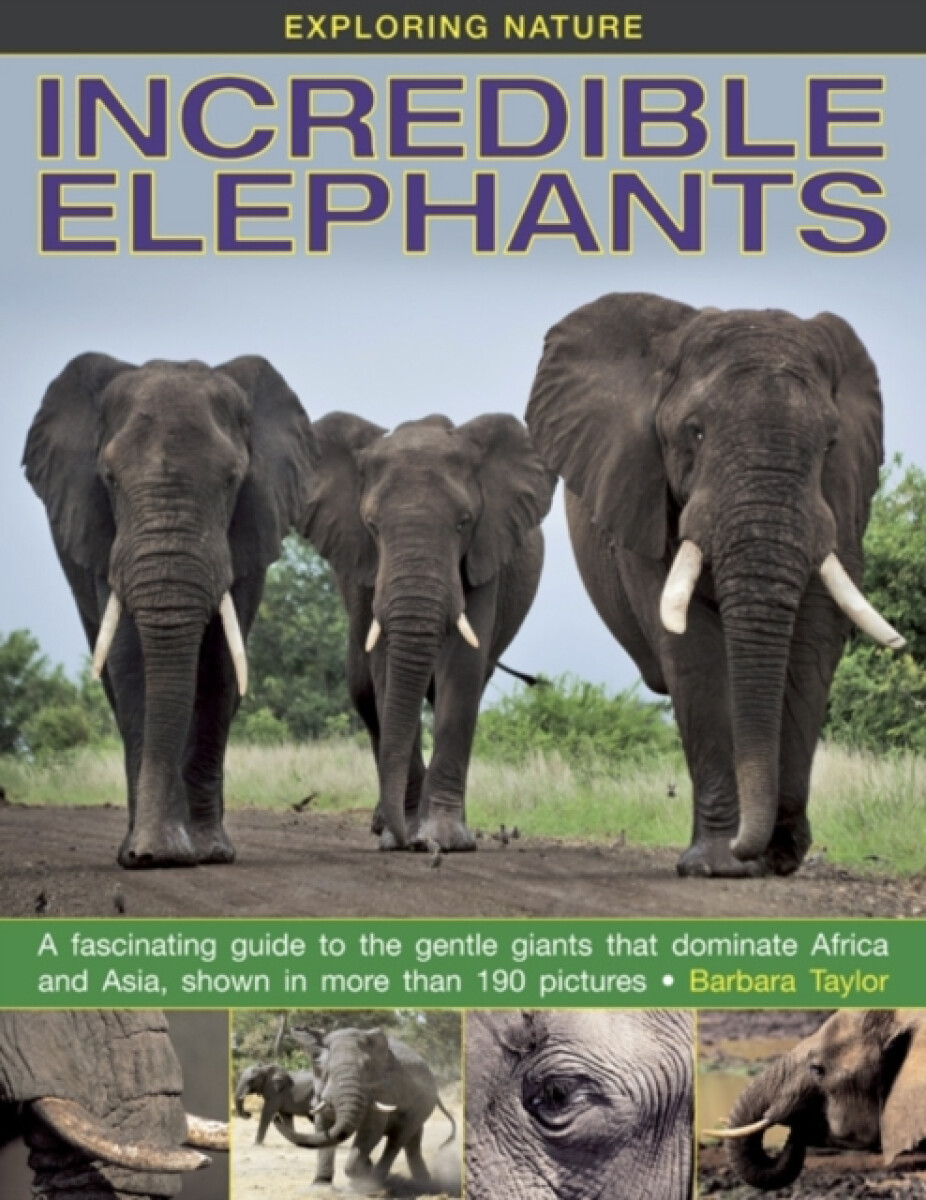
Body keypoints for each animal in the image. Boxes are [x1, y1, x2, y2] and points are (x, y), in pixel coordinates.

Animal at [23, 353, 316, 868]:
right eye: (109, 479)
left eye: (231, 481)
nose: (149, 854)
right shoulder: (104, 532)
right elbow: (130, 661)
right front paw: (152, 854)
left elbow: (219, 664)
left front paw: (208, 852)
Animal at [271, 1025, 457, 1189]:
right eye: (327, 1071)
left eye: (367, 1068)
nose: (276, 1117)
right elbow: (323, 1127)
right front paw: (320, 1186)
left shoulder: (382, 1090)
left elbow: (371, 1129)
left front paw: (363, 1176)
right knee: (412, 1141)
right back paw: (424, 1184)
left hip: (423, 1103)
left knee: (398, 1139)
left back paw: (378, 1182)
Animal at [301, 412, 556, 852]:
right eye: (372, 525)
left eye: (463, 523)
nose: (410, 842)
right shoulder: (365, 566)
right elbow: (385, 670)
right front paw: (400, 834)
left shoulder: (484, 554)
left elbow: (463, 670)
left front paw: (443, 838)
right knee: (363, 692)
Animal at [525, 292, 905, 878]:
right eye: (695, 432)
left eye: (830, 444)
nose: (757, 848)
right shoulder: (644, 494)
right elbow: (695, 652)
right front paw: (718, 864)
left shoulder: (843, 504)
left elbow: (814, 640)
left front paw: (777, 857)